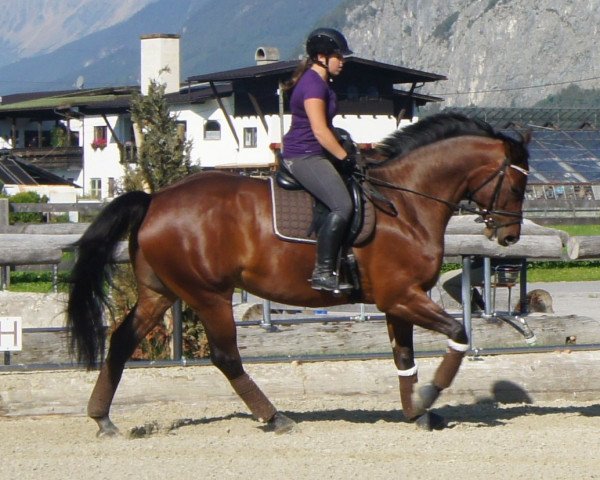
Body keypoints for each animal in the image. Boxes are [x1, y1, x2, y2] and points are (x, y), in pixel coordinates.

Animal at [67, 112, 528, 436]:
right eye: (517, 186)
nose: (509, 235)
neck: (407, 202)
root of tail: (154, 200)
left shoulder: (398, 301)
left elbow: (404, 360)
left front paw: (416, 411)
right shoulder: (401, 296)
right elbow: (458, 333)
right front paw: (431, 393)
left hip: (159, 292)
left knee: (121, 341)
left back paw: (102, 419)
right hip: (209, 294)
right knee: (225, 357)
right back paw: (274, 417)